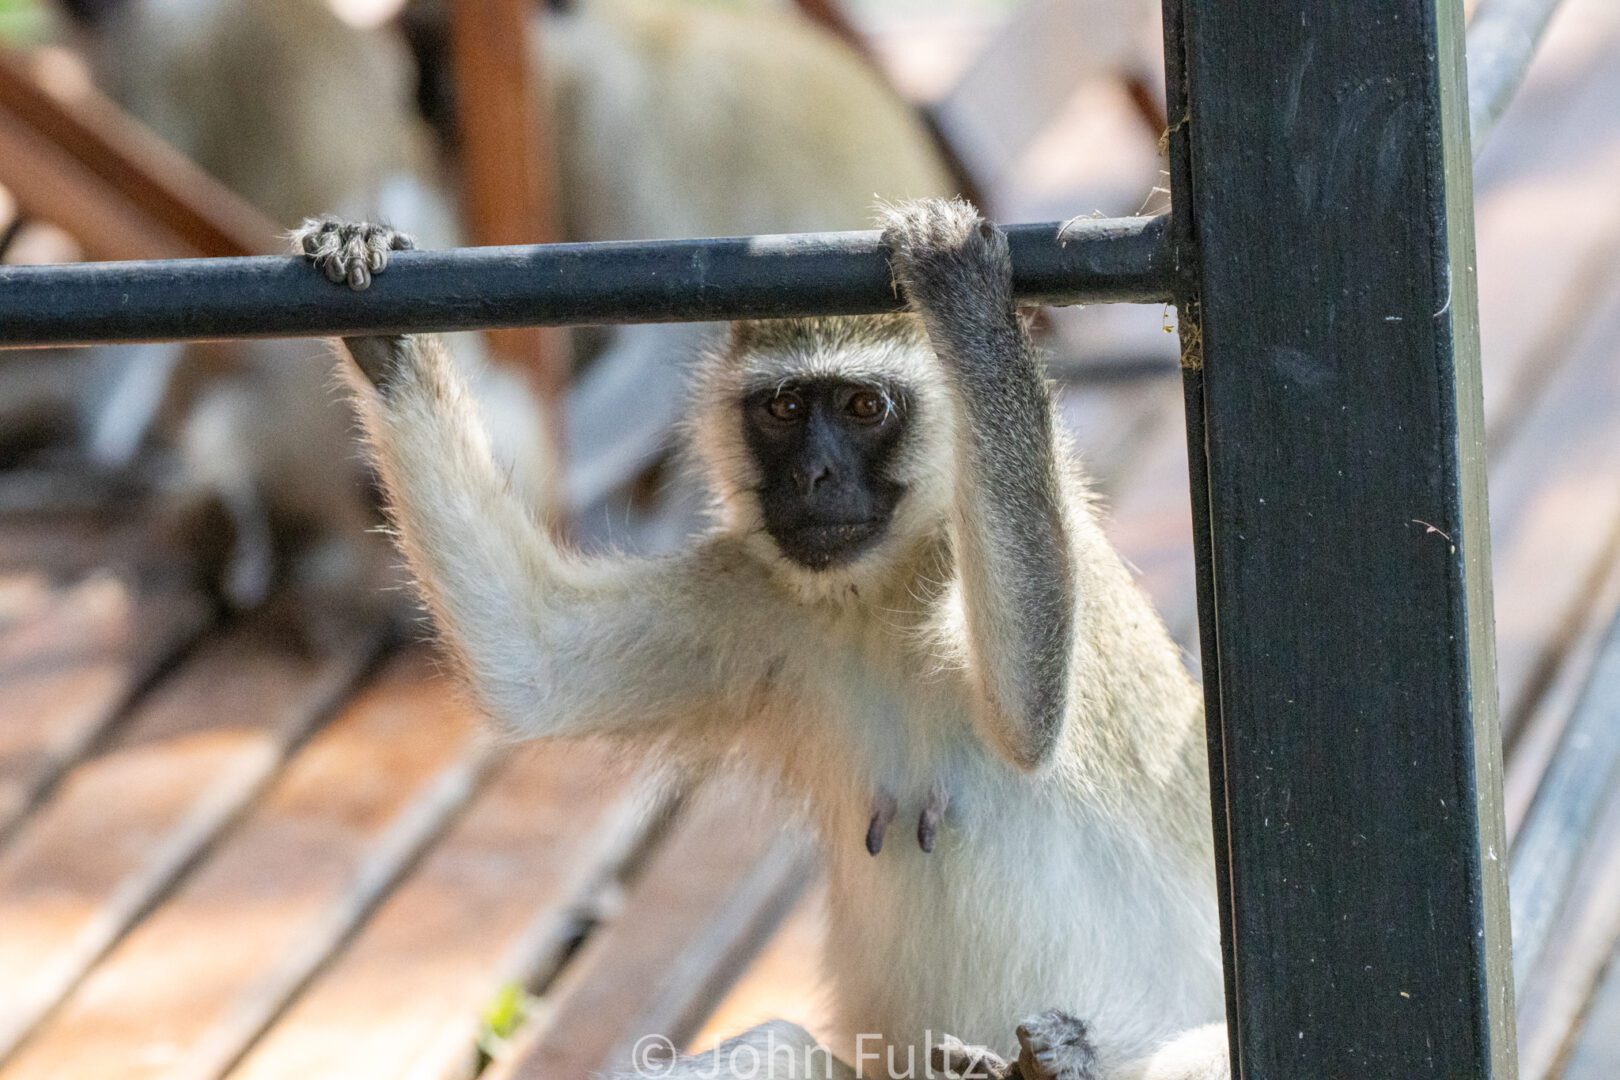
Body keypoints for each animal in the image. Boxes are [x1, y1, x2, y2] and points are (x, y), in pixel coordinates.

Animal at [294, 198, 1224, 1075]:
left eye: (862, 406)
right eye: (783, 408)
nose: (813, 475)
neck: (874, 595)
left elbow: (1030, 721)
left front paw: (971, 311)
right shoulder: (758, 600)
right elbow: (531, 662)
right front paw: (382, 335)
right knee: (779, 1046)